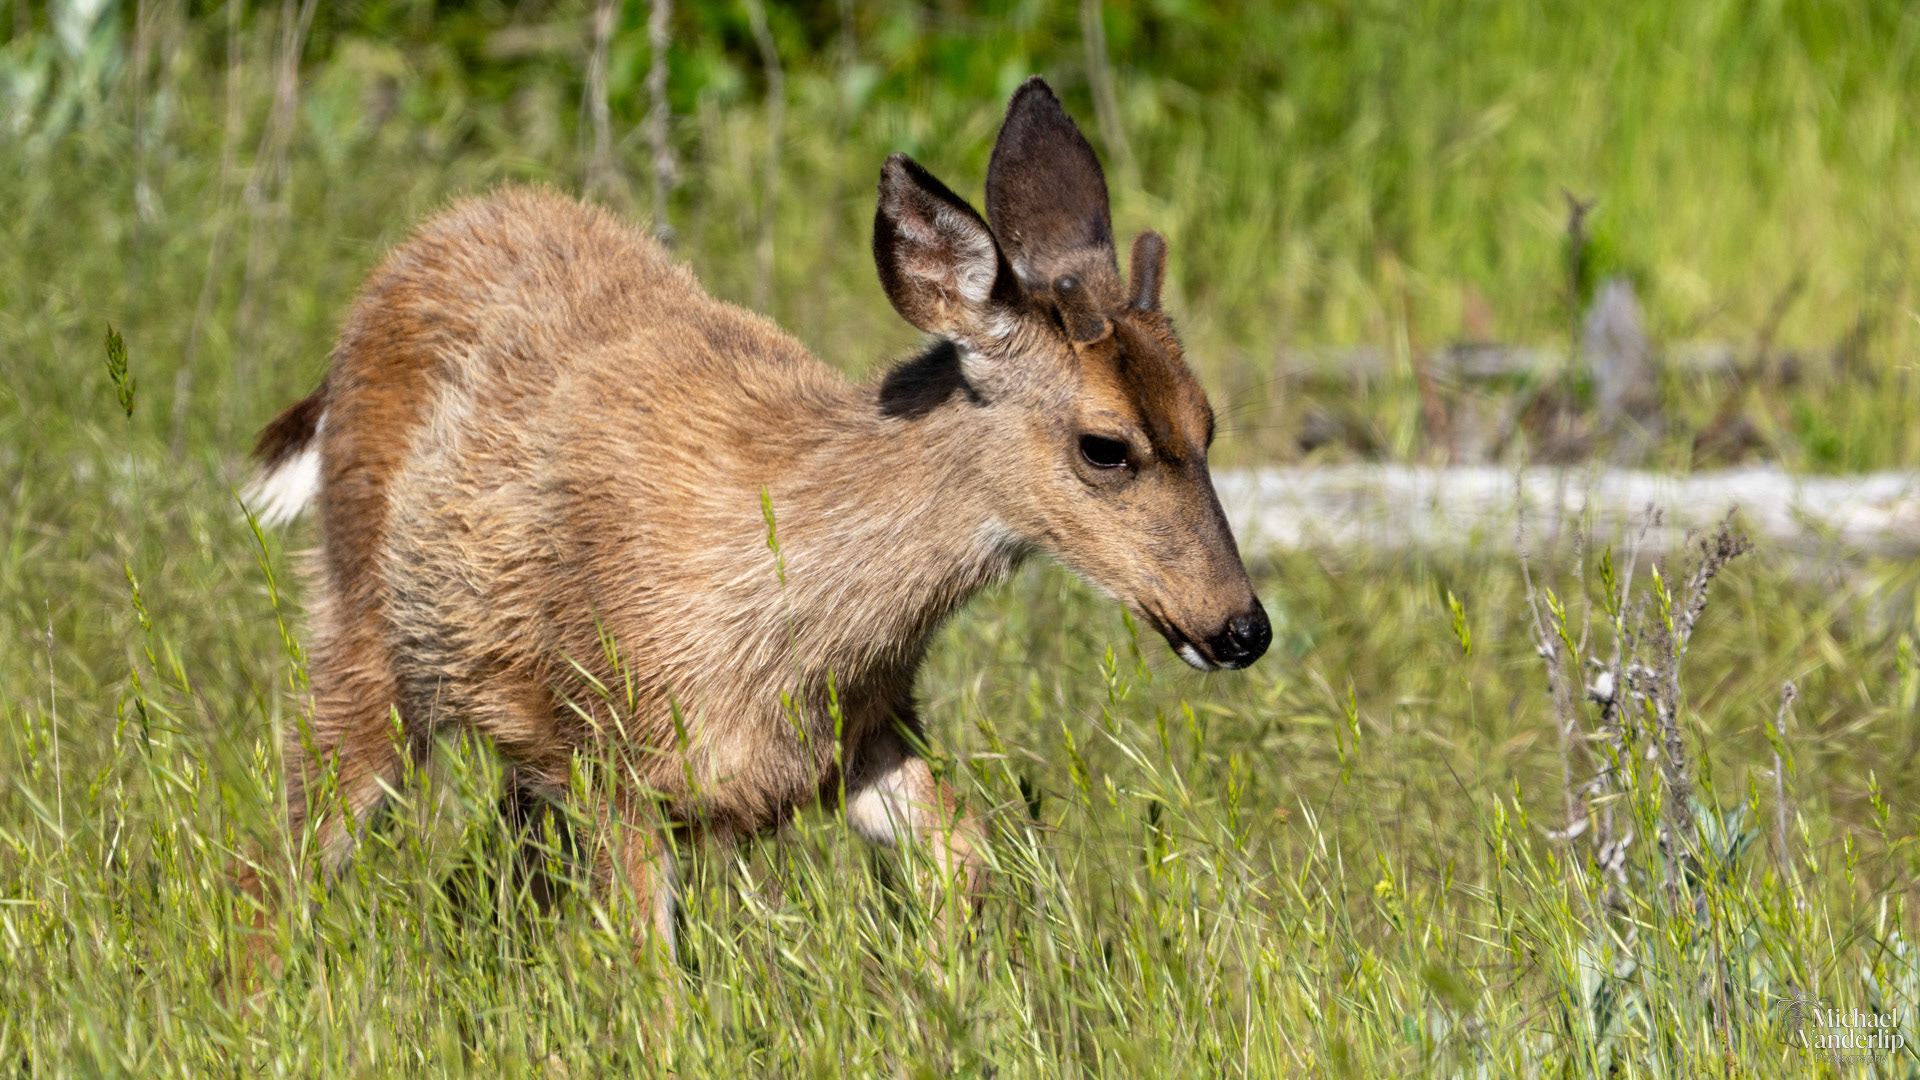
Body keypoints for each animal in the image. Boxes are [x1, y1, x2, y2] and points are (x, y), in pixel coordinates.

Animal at [238, 76, 1269, 966]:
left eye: (1209, 424)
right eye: (1106, 445)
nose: (1241, 627)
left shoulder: (862, 731)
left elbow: (968, 857)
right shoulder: (614, 756)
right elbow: (650, 977)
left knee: (480, 880)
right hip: (365, 629)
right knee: (283, 851)